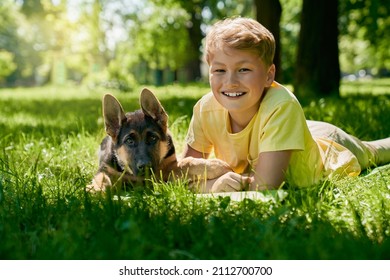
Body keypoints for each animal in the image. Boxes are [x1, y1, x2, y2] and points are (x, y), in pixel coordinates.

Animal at [88, 88, 232, 191]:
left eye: (153, 138)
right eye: (129, 141)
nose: (145, 166)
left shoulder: (166, 167)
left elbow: (187, 162)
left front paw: (213, 165)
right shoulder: (105, 170)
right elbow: (101, 179)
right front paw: (94, 191)